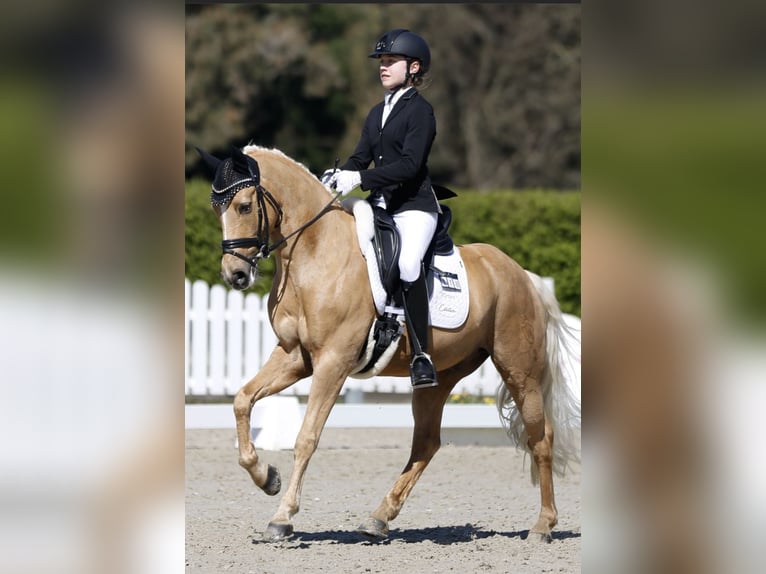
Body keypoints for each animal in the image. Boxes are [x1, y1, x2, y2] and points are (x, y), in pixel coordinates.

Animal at [198, 143, 584, 544]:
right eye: (216, 208)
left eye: (244, 206)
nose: (235, 275)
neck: (315, 254)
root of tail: (523, 275)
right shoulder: (295, 357)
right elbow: (242, 400)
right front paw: (267, 478)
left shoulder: (333, 362)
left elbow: (306, 438)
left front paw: (282, 516)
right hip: (440, 377)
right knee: (426, 442)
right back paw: (379, 518)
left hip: (519, 370)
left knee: (541, 437)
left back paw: (543, 525)